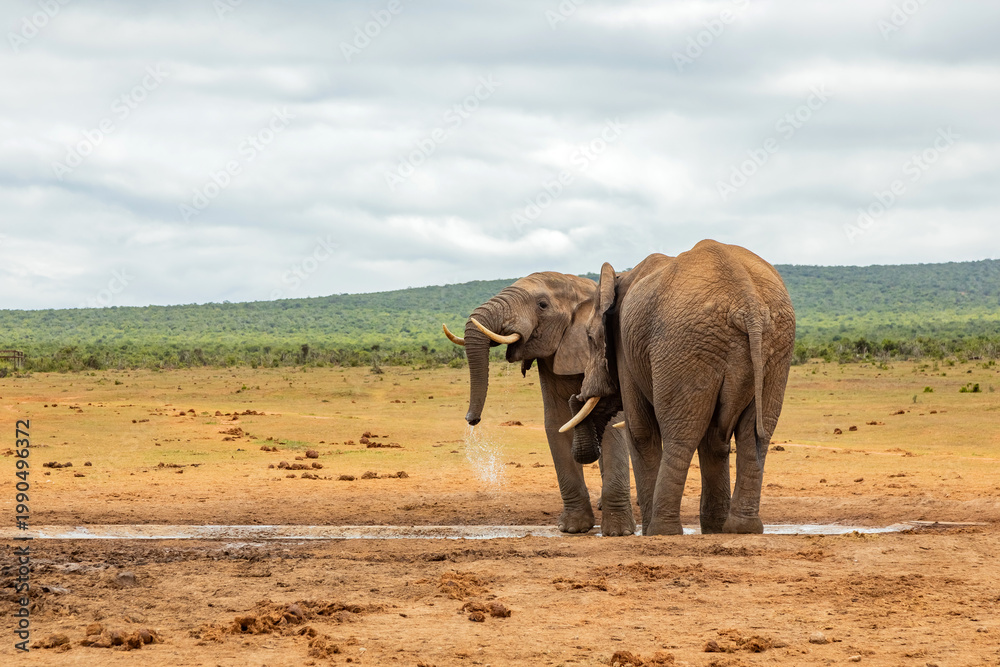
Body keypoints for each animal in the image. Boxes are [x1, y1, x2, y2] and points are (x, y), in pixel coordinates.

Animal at [443, 272, 636, 535]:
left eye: (542, 305)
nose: (472, 419)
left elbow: (612, 425)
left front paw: (618, 532)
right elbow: (556, 422)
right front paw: (573, 528)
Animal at [560, 240, 795, 535]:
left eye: (590, 338)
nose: (577, 396)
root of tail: (748, 304)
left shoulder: (625, 349)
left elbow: (640, 431)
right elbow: (714, 439)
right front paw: (714, 528)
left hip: (684, 346)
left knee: (681, 434)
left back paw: (661, 530)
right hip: (773, 350)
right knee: (752, 435)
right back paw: (742, 528)